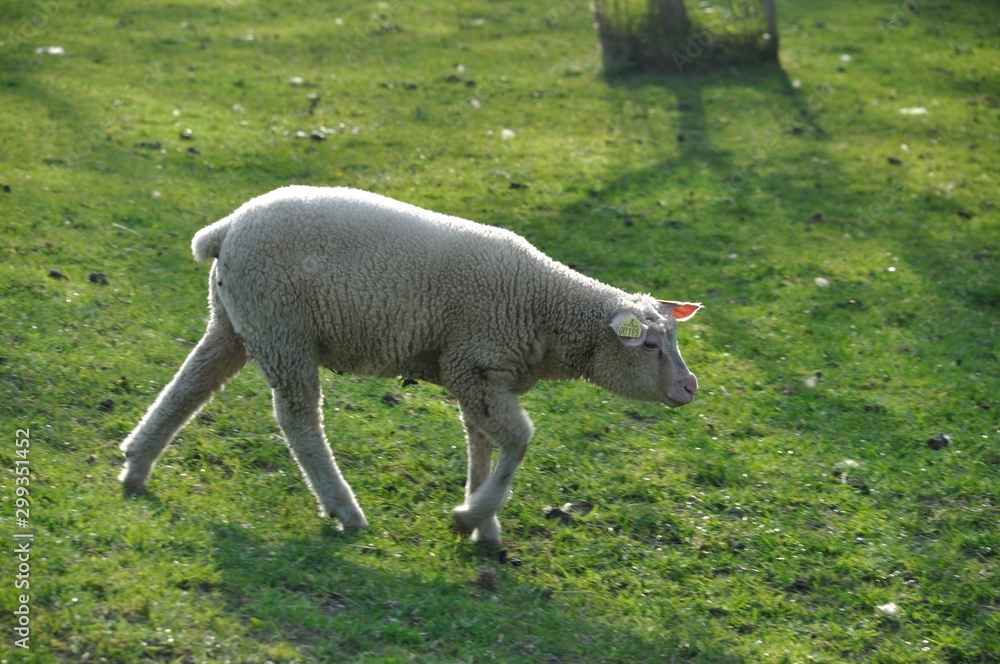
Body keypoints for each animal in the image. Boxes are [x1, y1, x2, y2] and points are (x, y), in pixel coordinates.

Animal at [119, 186, 701, 546]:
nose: (690, 387)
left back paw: (136, 464)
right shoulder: (475, 363)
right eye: (650, 345)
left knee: (191, 385)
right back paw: (344, 510)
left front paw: (484, 525)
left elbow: (481, 445)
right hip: (282, 328)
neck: (545, 308)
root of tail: (225, 229)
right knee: (298, 419)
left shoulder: (477, 376)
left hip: (236, 320)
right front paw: (471, 516)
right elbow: (518, 441)